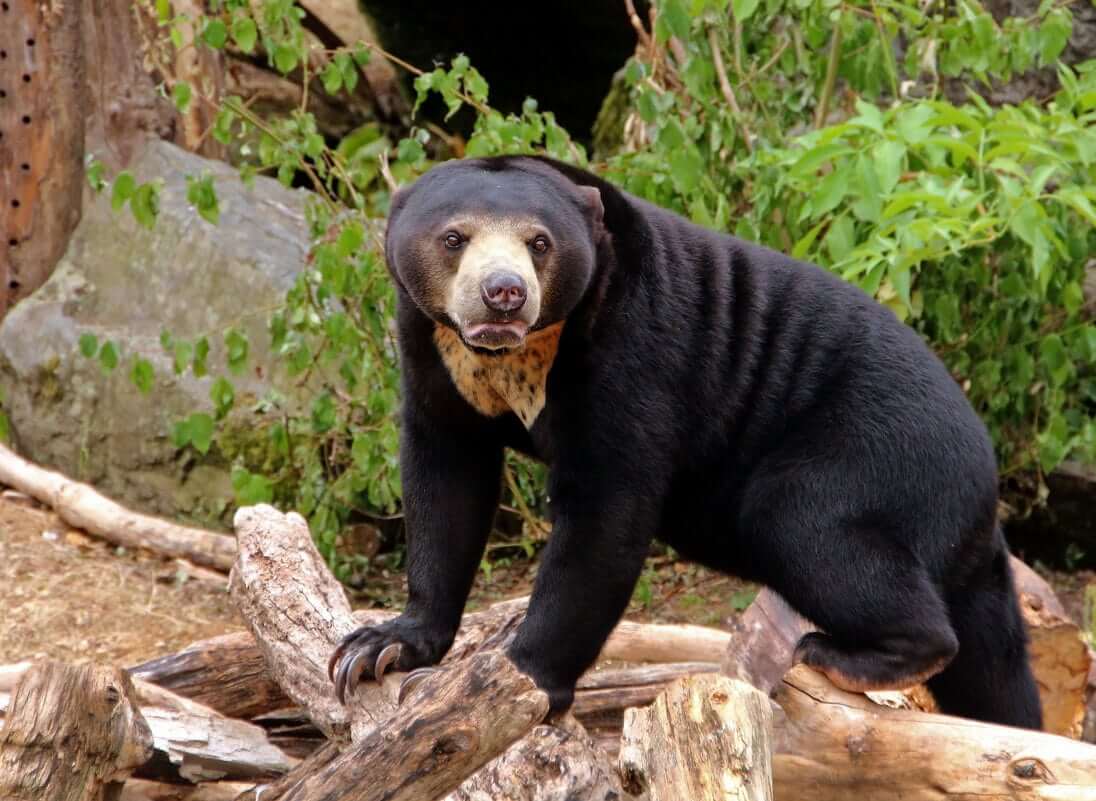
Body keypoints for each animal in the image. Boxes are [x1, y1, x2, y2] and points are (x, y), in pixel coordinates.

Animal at [326, 153, 1043, 731]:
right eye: (454, 238)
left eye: (539, 243)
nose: (503, 294)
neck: (514, 361)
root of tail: (983, 482)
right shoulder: (430, 354)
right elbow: (445, 482)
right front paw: (378, 648)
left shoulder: (634, 351)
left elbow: (606, 515)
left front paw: (525, 680)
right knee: (994, 667)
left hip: (874, 455)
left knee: (810, 523)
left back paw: (846, 654)